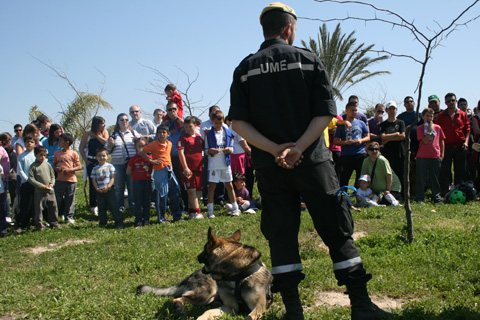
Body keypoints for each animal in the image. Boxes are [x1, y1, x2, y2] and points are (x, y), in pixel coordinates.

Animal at [139, 228, 274, 320]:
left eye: (204, 250)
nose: (197, 256)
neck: (236, 276)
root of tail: (189, 277)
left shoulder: (258, 307)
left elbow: (248, 317)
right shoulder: (230, 307)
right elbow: (206, 313)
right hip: (208, 293)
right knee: (177, 299)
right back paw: (181, 309)